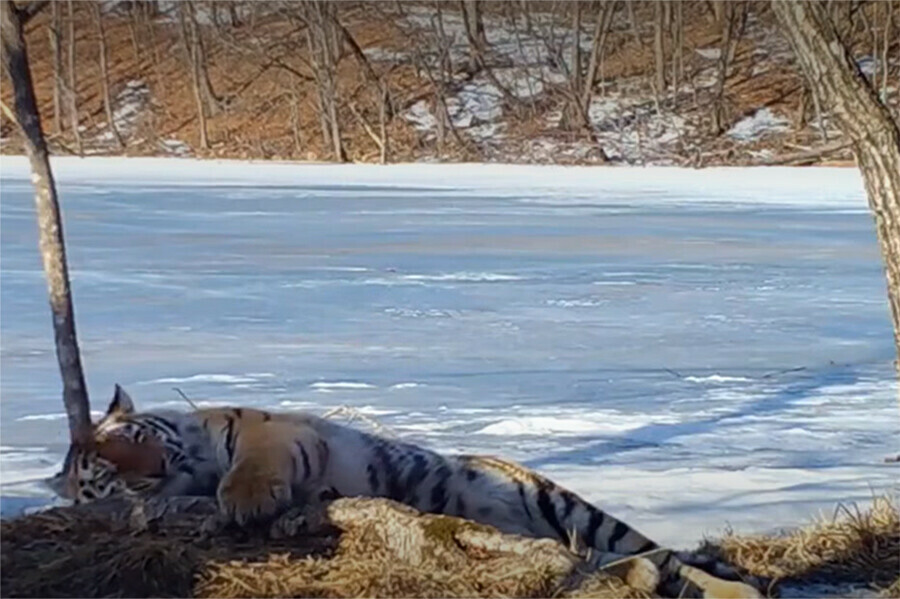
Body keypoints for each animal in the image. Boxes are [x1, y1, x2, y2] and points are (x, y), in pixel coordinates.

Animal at [47, 384, 768, 599]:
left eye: (130, 434)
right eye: (104, 475)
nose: (147, 470)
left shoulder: (276, 429)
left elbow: (249, 464)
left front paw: (245, 499)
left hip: (569, 508)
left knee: (668, 557)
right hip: (574, 545)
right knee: (647, 569)